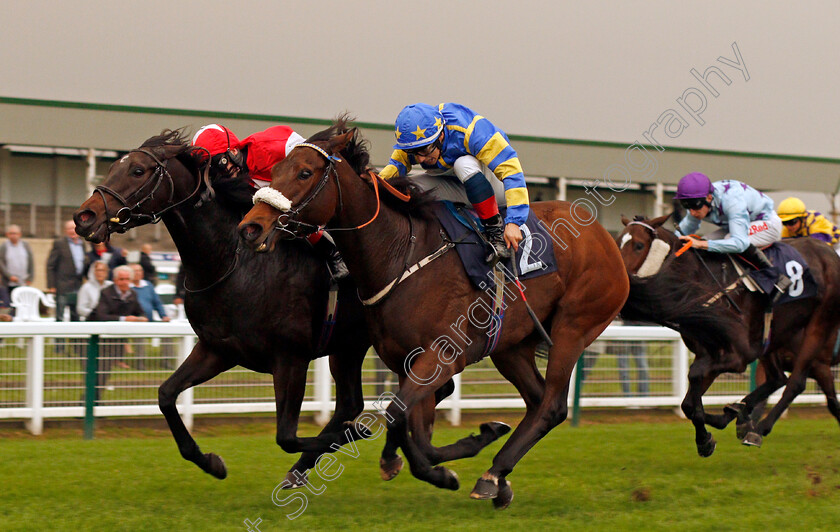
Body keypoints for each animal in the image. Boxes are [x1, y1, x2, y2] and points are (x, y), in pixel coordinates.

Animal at [70, 130, 372, 486]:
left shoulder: (291, 357)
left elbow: (286, 436)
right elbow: (165, 395)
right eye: (114, 166)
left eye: (138, 171)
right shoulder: (218, 349)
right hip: (348, 345)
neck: (232, 263)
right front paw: (211, 462)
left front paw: (360, 432)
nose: (84, 217)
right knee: (349, 403)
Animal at [236, 120, 632, 508]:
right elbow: (407, 423)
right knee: (536, 401)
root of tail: (604, 235)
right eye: (273, 171)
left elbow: (405, 421)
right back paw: (498, 477)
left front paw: (446, 465)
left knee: (552, 405)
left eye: (304, 173)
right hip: (511, 346)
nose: (251, 227)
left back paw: (492, 474)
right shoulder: (403, 360)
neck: (399, 254)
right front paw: (412, 459)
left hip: (573, 327)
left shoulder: (441, 356)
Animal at [616, 213, 840, 454]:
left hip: (818, 327)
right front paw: (712, 432)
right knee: (777, 378)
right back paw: (740, 414)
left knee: (795, 382)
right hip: (772, 337)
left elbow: (694, 379)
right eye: (617, 241)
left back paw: (758, 428)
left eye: (639, 245)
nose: (620, 284)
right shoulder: (709, 353)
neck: (700, 282)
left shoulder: (738, 355)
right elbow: (688, 404)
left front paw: (713, 431)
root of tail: (829, 254)